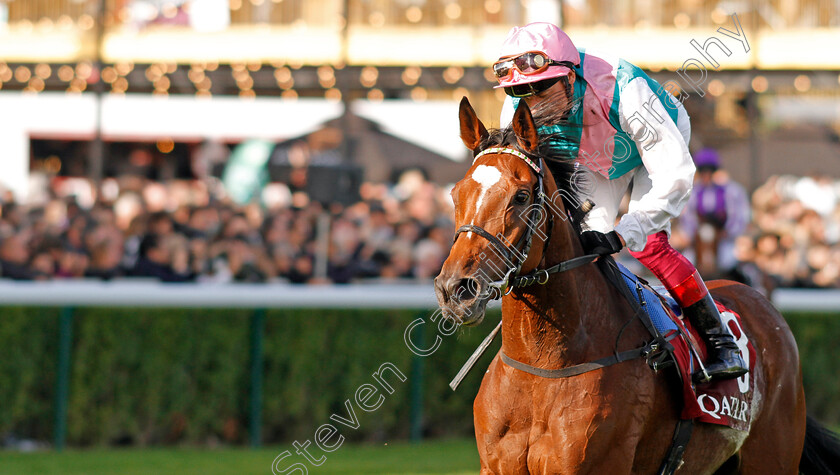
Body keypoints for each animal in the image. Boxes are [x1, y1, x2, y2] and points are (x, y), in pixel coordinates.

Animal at [434, 97, 840, 475]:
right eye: (455, 194)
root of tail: (763, 304)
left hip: (771, 457)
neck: (543, 366)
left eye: (520, 196)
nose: (456, 289)